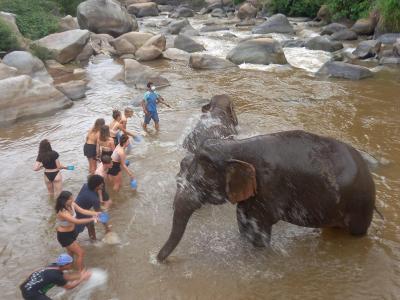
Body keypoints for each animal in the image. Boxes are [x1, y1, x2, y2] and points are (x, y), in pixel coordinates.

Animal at [158, 130, 376, 262]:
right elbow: (244, 220)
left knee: (355, 232)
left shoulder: (268, 186)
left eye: (200, 183)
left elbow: (257, 227)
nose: (157, 259)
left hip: (360, 204)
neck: (236, 147)